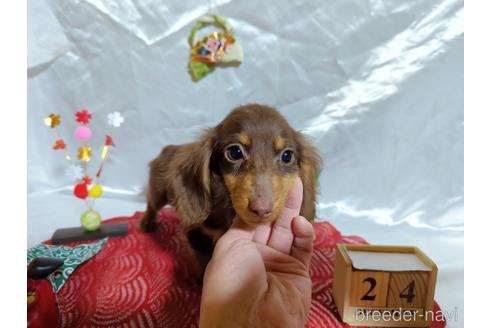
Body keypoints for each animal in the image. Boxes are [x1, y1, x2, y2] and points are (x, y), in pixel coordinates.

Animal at [140, 105, 320, 264]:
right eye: (235, 152)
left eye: (287, 156)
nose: (261, 209)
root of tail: (169, 148)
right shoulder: (197, 235)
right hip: (158, 191)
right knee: (152, 204)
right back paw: (146, 223)